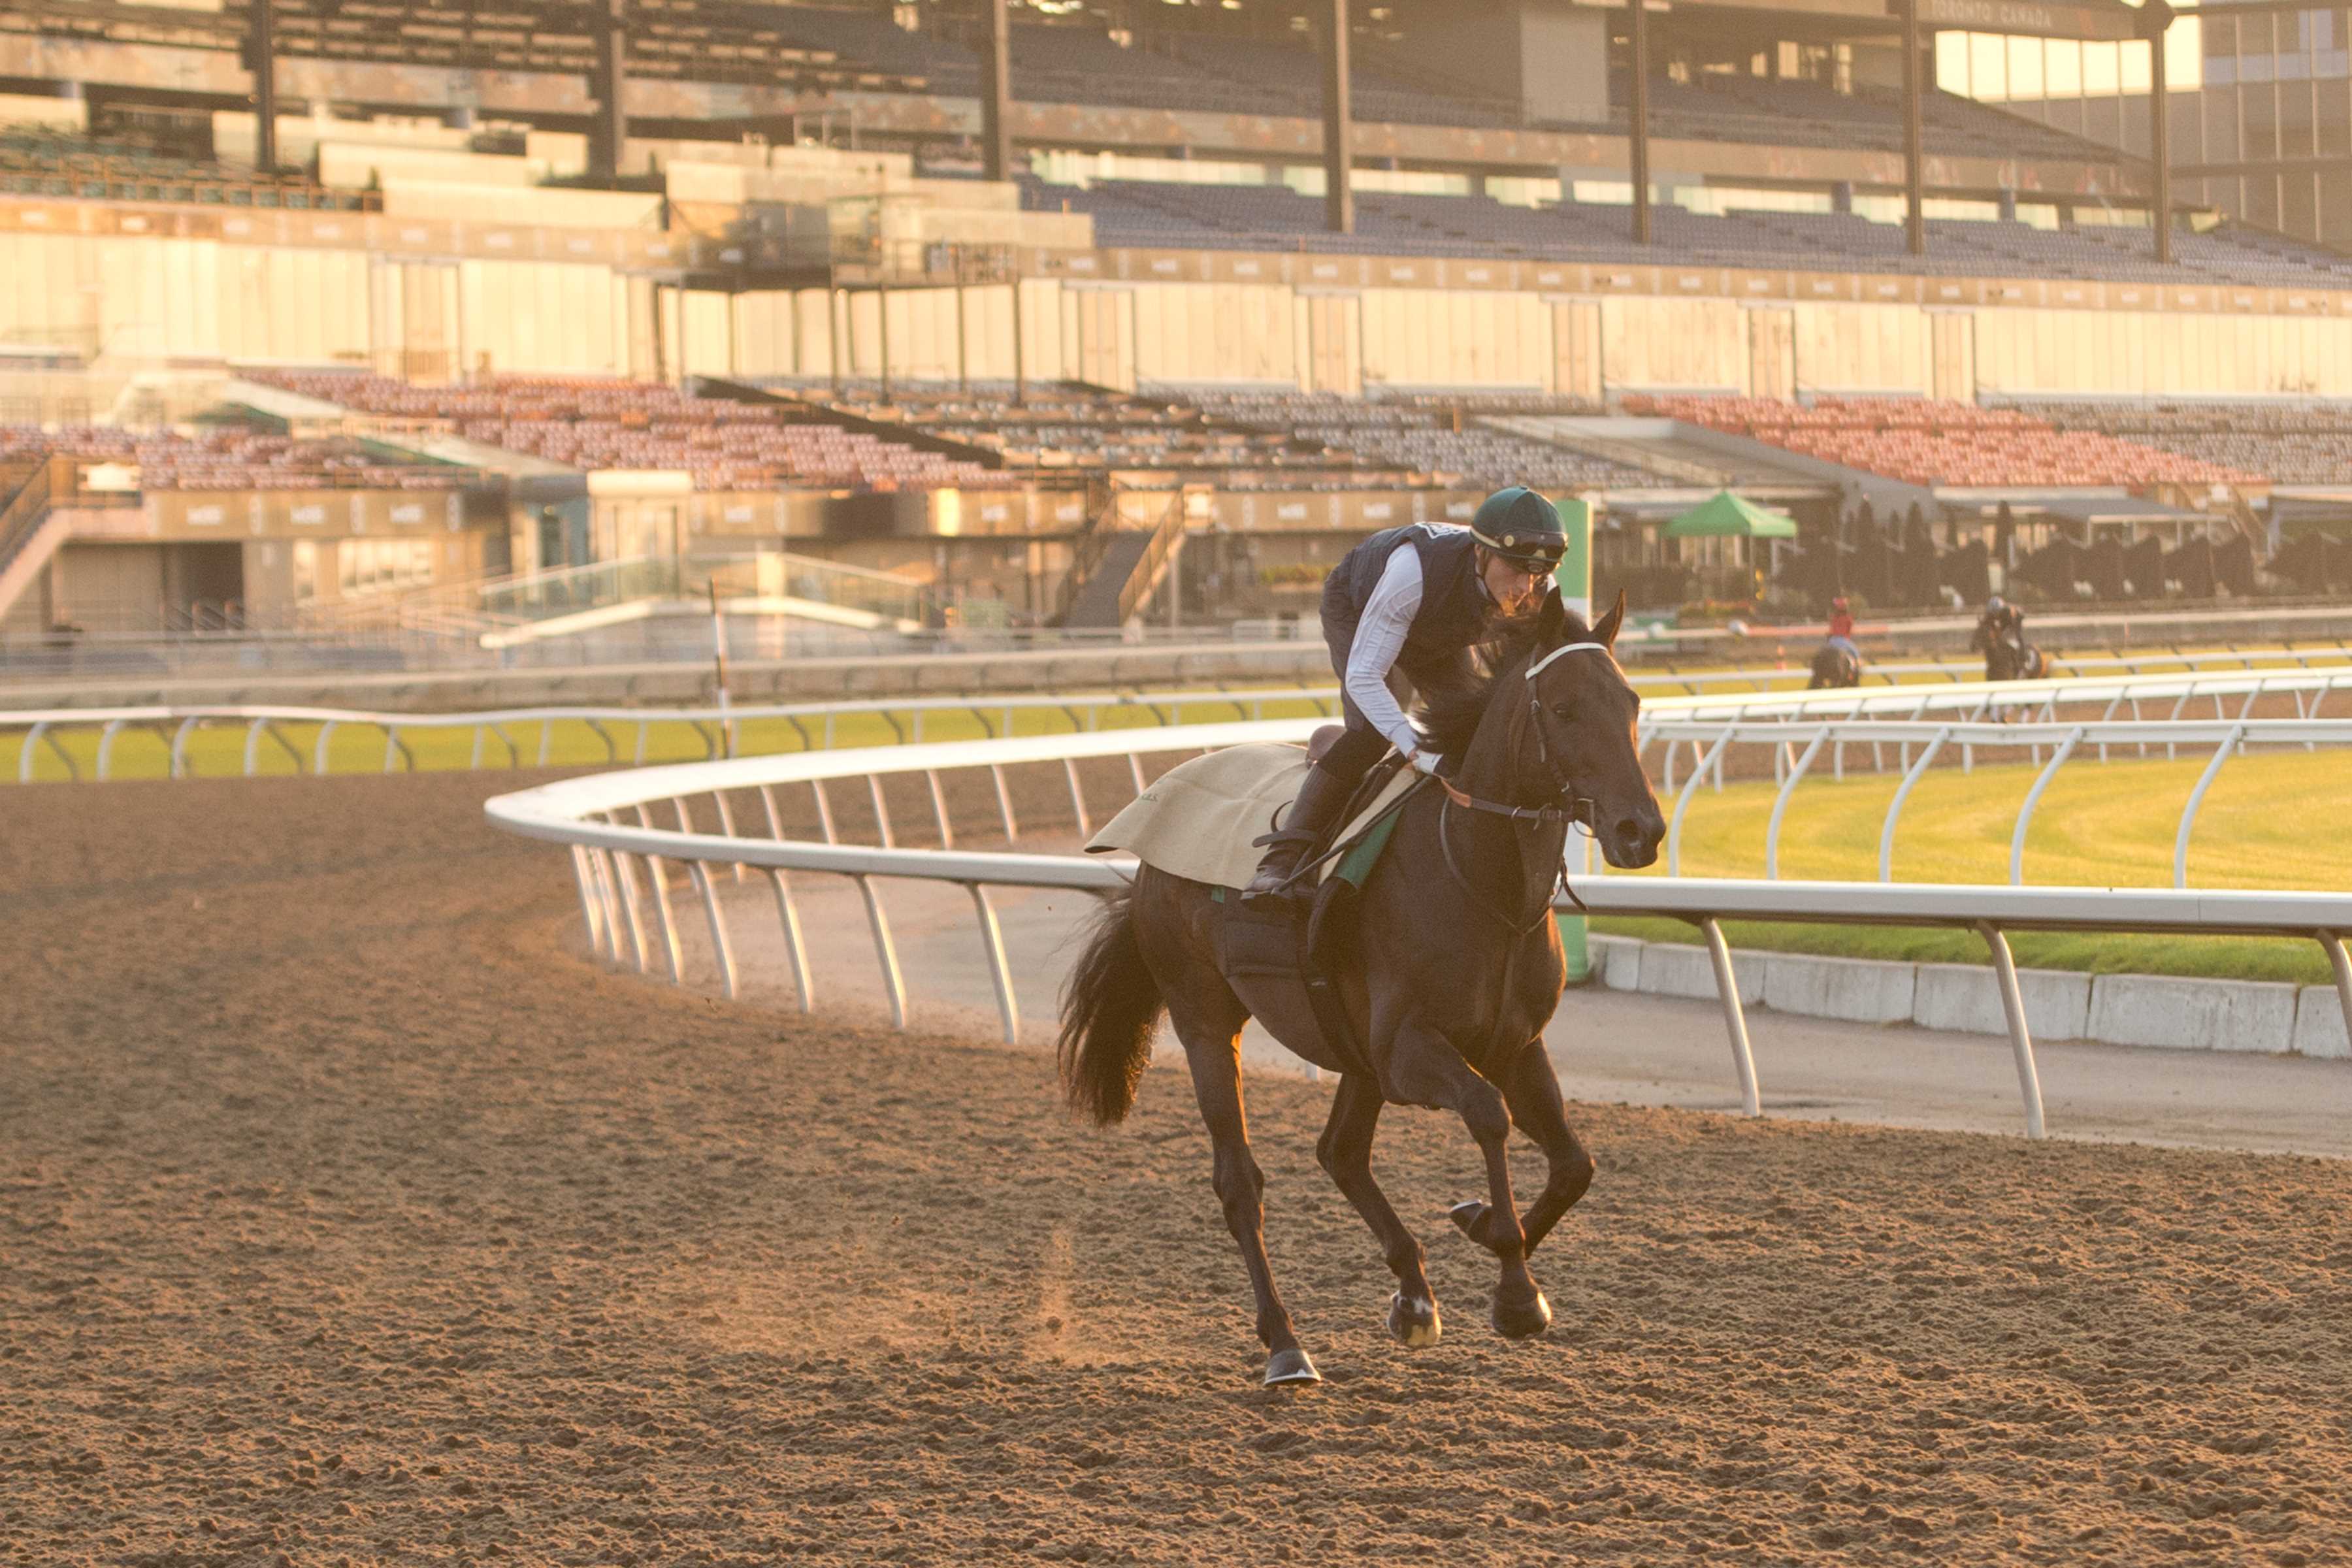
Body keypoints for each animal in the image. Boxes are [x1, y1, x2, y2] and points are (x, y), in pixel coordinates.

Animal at [1058, 592, 1665, 1382]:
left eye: (1631, 701)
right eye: (1563, 709)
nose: (1641, 830)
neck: (1481, 880)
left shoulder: (1516, 1044)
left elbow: (1574, 1165)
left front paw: (1483, 1230)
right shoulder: (1408, 1049)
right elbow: (1488, 1114)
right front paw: (1514, 1289)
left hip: (1349, 1045)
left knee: (1339, 1152)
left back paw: (1412, 1295)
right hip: (1205, 1022)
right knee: (1239, 1182)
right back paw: (1285, 1345)